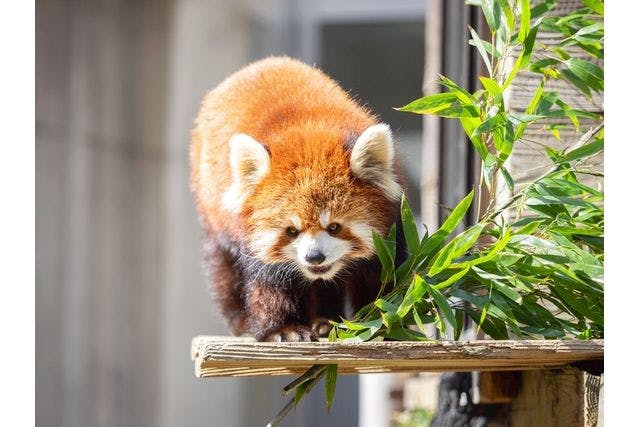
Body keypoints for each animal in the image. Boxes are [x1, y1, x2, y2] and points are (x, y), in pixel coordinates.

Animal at [190, 56, 408, 342]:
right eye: (291, 231)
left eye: (334, 227)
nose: (314, 257)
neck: (308, 131)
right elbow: (268, 283)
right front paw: (284, 329)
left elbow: (380, 275)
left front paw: (382, 321)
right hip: (212, 211)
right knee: (223, 270)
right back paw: (242, 323)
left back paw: (325, 321)